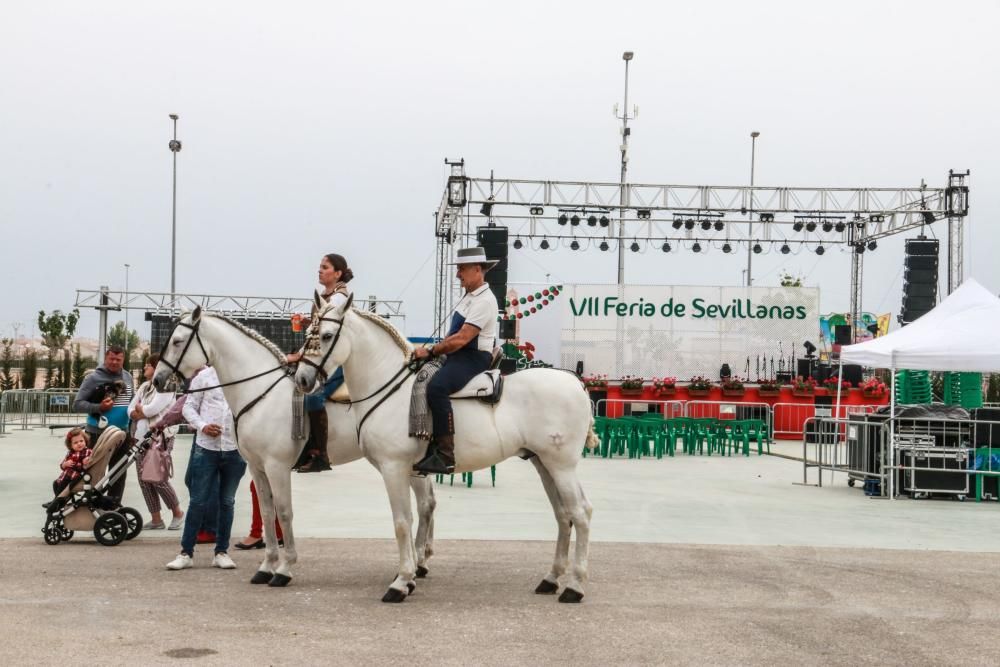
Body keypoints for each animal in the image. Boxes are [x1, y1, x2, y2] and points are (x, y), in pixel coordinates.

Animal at [152, 306, 438, 588]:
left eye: (177, 341)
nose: (157, 380)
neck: (261, 392)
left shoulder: (276, 466)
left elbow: (284, 512)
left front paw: (284, 568)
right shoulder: (257, 467)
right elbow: (268, 512)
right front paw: (266, 567)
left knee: (423, 506)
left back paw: (417, 564)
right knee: (427, 504)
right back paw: (421, 563)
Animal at [292, 294, 596, 604]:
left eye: (327, 336)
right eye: (308, 334)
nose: (302, 379)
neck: (390, 388)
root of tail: (576, 383)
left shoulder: (394, 468)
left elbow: (402, 522)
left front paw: (401, 582)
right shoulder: (409, 471)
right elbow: (412, 516)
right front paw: (410, 575)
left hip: (561, 465)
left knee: (581, 512)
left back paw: (574, 586)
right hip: (544, 464)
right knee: (563, 515)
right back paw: (551, 578)